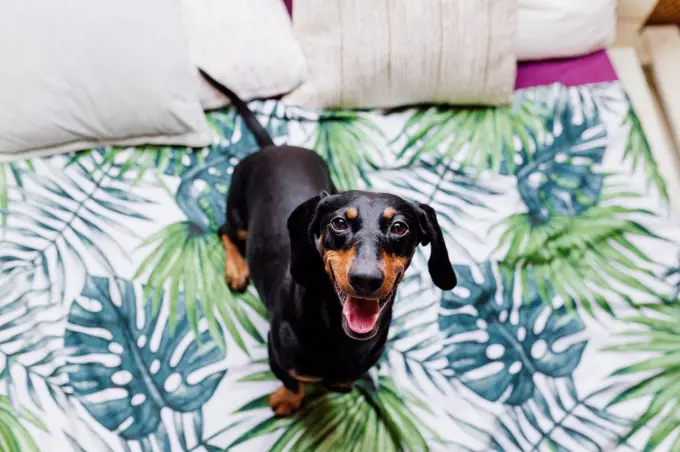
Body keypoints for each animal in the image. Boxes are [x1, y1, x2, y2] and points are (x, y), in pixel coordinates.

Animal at [199, 68, 460, 416]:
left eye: (400, 228)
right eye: (338, 223)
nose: (365, 279)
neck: (339, 336)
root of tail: (274, 147)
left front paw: (339, 384)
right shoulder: (277, 355)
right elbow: (292, 382)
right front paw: (287, 400)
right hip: (238, 213)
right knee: (225, 231)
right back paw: (237, 270)